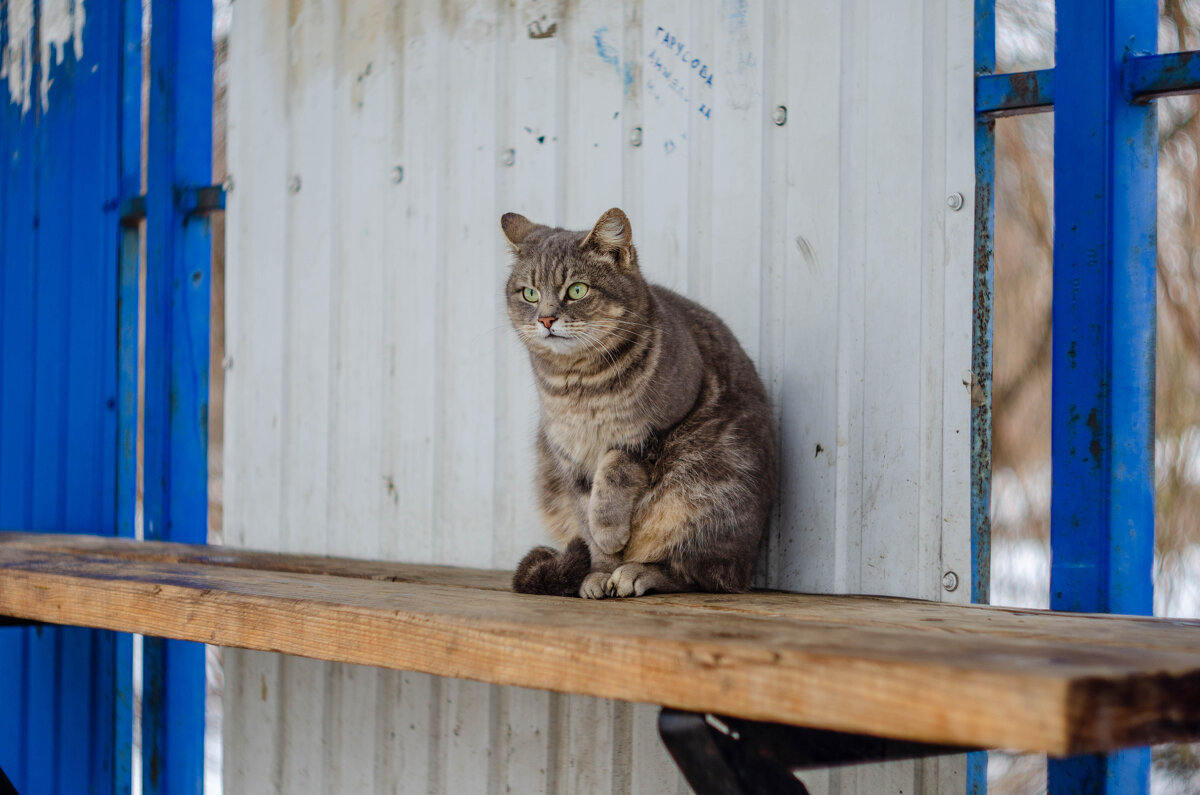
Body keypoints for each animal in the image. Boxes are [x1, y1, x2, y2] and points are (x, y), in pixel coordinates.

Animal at [504, 208, 777, 600]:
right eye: (530, 293)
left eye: (576, 290)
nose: (546, 318)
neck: (579, 385)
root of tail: (750, 564)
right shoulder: (569, 459)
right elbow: (587, 522)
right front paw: (600, 571)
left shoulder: (652, 430)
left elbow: (613, 474)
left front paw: (610, 534)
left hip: (706, 490)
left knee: (700, 574)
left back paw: (639, 572)